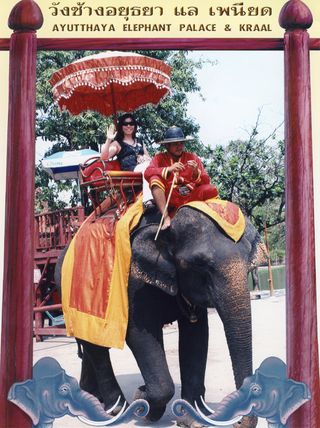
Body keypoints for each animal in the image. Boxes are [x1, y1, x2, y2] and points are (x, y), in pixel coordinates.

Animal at [55, 206, 268, 426]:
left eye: (248, 261)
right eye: (200, 264)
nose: (238, 422)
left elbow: (196, 334)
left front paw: (192, 418)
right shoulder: (133, 282)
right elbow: (138, 333)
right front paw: (142, 401)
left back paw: (91, 395)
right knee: (95, 347)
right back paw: (115, 409)